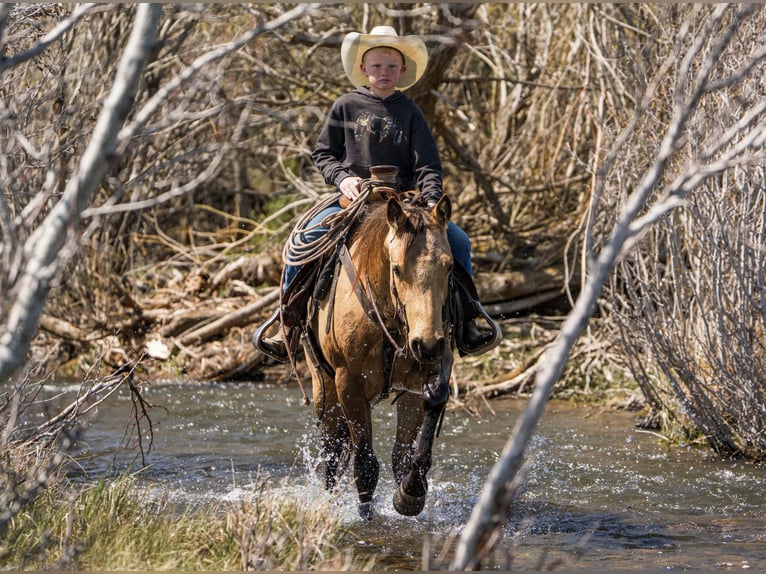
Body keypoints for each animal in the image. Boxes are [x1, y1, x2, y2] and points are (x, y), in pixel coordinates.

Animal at [303, 193, 454, 520]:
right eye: (396, 269)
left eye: (449, 267)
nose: (427, 344)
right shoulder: (349, 384)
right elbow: (365, 464)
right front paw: (365, 516)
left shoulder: (423, 378)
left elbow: (406, 452)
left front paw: (410, 493)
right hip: (324, 388)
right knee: (332, 453)